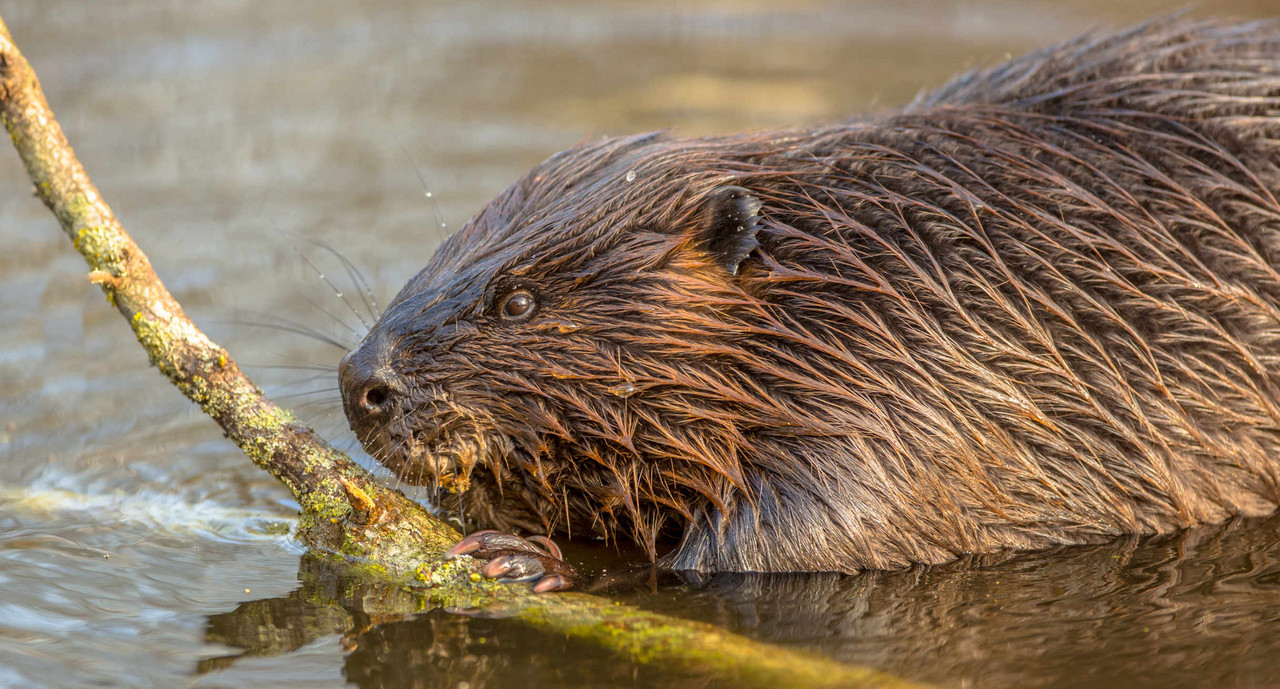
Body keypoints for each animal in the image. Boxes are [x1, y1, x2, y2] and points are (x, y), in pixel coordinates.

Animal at [337, 17, 1280, 583]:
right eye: (435, 259)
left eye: (518, 303)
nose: (361, 383)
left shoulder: (922, 408)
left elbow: (775, 548)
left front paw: (520, 561)